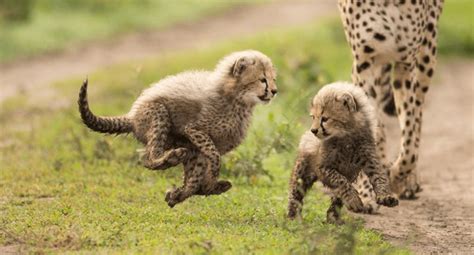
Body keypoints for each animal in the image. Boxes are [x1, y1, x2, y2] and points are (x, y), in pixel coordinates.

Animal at [336, 0, 444, 198]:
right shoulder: (364, 63)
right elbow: (371, 131)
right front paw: (368, 188)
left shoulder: (406, 65)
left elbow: (409, 140)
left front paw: (396, 179)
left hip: (427, 54)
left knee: (417, 116)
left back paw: (409, 180)